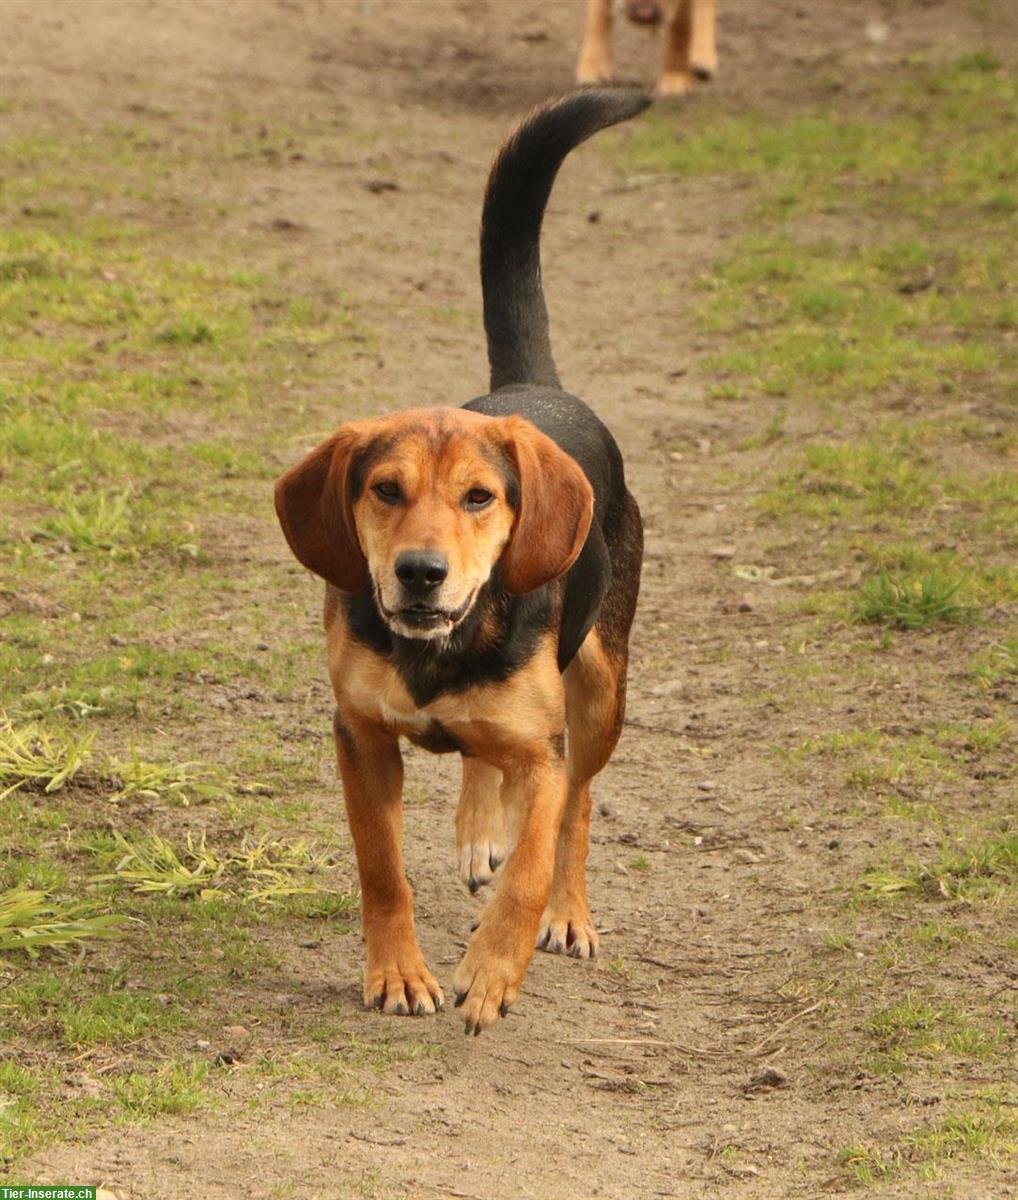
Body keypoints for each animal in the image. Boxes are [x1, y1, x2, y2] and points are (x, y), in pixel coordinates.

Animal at [274, 88, 648, 1036]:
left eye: (480, 498)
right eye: (384, 489)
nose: (420, 572)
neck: (440, 650)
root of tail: (532, 388)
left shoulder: (546, 753)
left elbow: (533, 860)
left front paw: (493, 969)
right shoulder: (362, 739)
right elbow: (382, 868)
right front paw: (399, 973)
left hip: (602, 689)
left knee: (579, 807)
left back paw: (569, 913)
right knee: (486, 765)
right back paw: (482, 826)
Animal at [576, 0, 720, 97]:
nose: (644, 14)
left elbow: (680, 24)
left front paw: (675, 76)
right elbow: (598, 13)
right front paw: (593, 67)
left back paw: (703, 58)